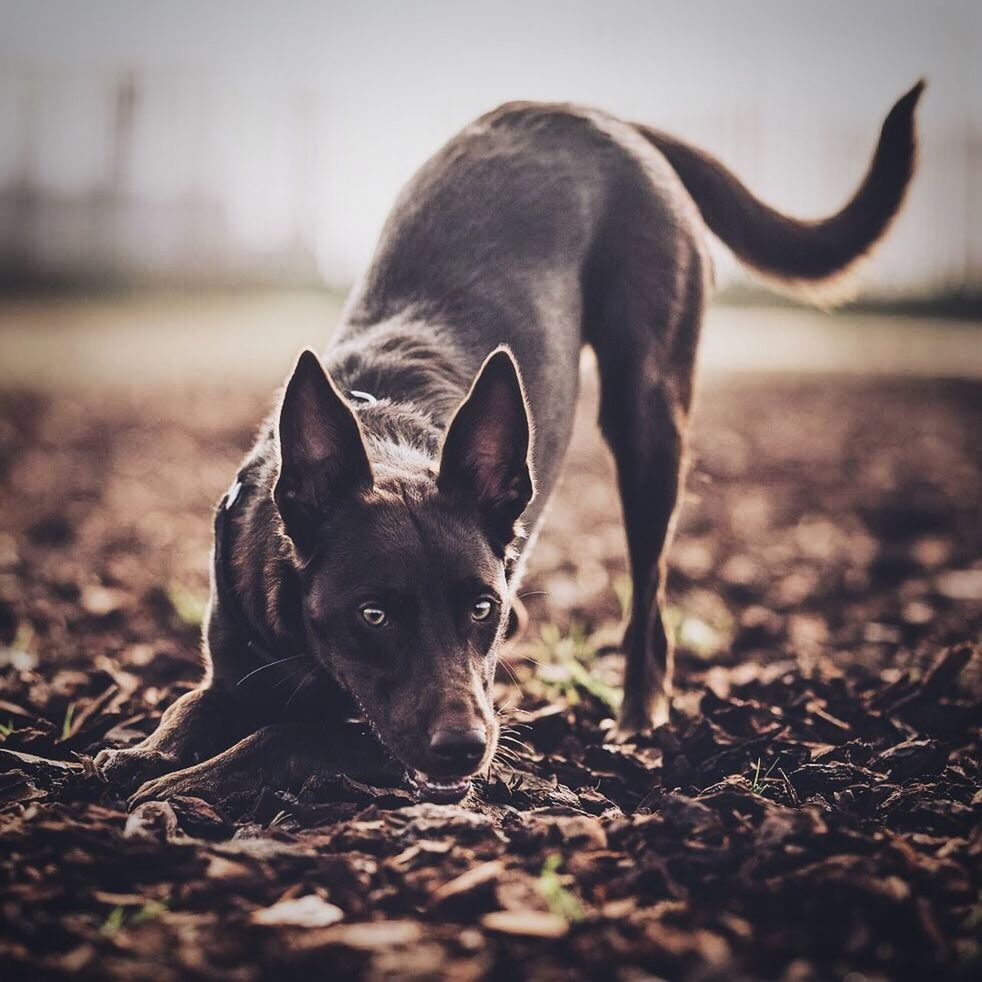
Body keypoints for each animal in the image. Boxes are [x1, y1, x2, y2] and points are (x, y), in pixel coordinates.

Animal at [96, 82, 928, 808]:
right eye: (374, 614)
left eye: (480, 607)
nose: (467, 749)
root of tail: (600, 115)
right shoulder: (229, 675)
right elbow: (187, 708)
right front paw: (136, 753)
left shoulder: (381, 728)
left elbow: (281, 736)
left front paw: (174, 783)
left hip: (648, 412)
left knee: (649, 595)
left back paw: (636, 718)